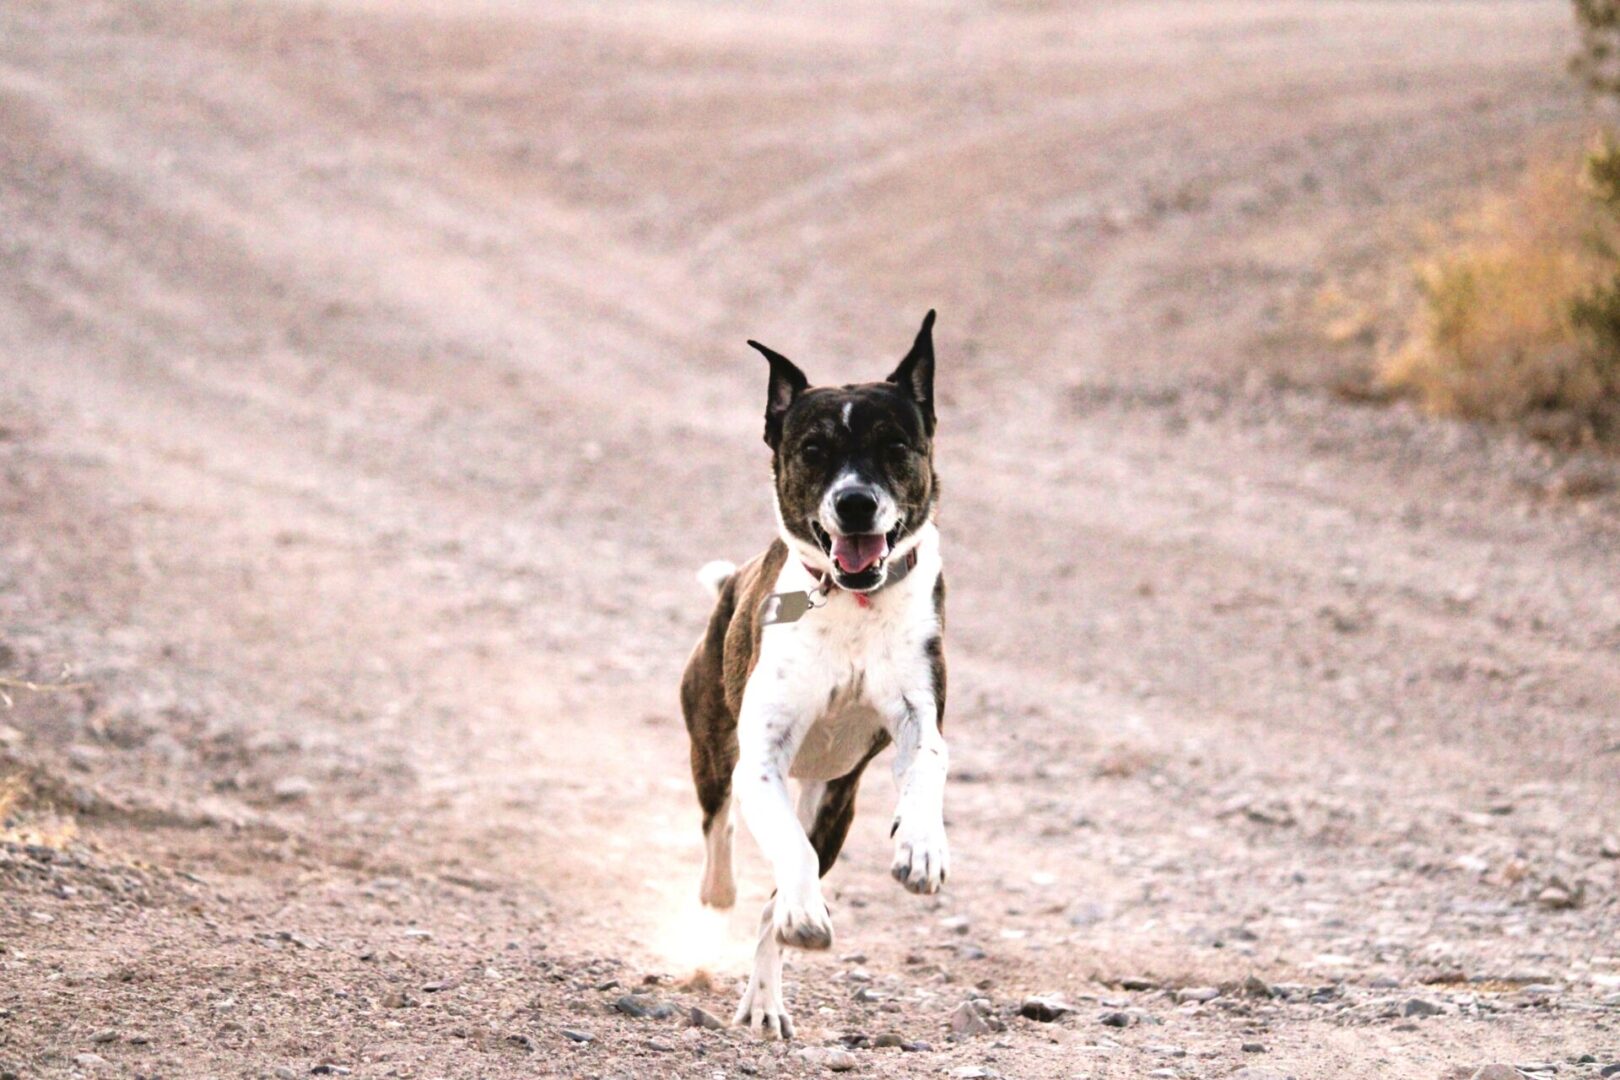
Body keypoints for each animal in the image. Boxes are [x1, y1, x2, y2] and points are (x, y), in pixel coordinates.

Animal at [680, 310, 946, 1036]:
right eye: (814, 449)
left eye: (894, 444)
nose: (856, 503)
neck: (852, 601)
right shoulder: (762, 756)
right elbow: (783, 850)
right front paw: (798, 911)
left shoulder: (915, 714)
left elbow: (928, 766)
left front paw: (921, 846)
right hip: (711, 743)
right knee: (720, 832)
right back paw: (723, 896)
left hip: (833, 797)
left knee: (777, 890)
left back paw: (765, 996)